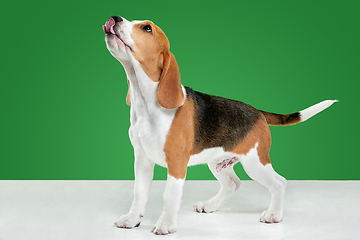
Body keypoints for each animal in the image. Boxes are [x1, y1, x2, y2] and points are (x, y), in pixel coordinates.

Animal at [102, 15, 336, 235]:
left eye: (147, 28)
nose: (115, 18)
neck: (146, 103)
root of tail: (258, 112)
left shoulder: (176, 164)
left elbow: (169, 195)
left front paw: (166, 224)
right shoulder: (142, 159)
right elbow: (139, 192)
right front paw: (133, 219)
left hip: (255, 162)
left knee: (280, 182)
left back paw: (274, 214)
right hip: (218, 162)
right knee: (233, 183)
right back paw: (210, 205)